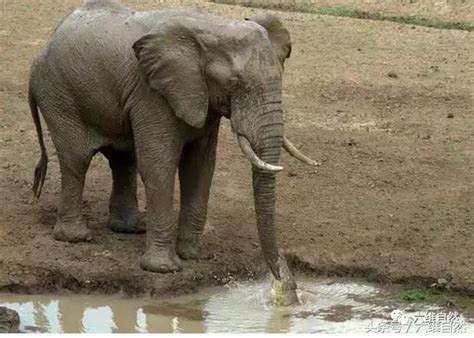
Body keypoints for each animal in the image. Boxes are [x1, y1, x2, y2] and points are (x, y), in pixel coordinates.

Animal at [29, 0, 318, 304]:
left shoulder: (200, 97)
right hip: (59, 97)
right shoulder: (152, 93)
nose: (282, 279)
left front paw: (196, 256)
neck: (214, 28)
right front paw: (164, 269)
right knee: (77, 161)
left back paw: (131, 228)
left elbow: (200, 167)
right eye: (235, 83)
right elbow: (159, 166)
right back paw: (76, 238)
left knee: (123, 159)